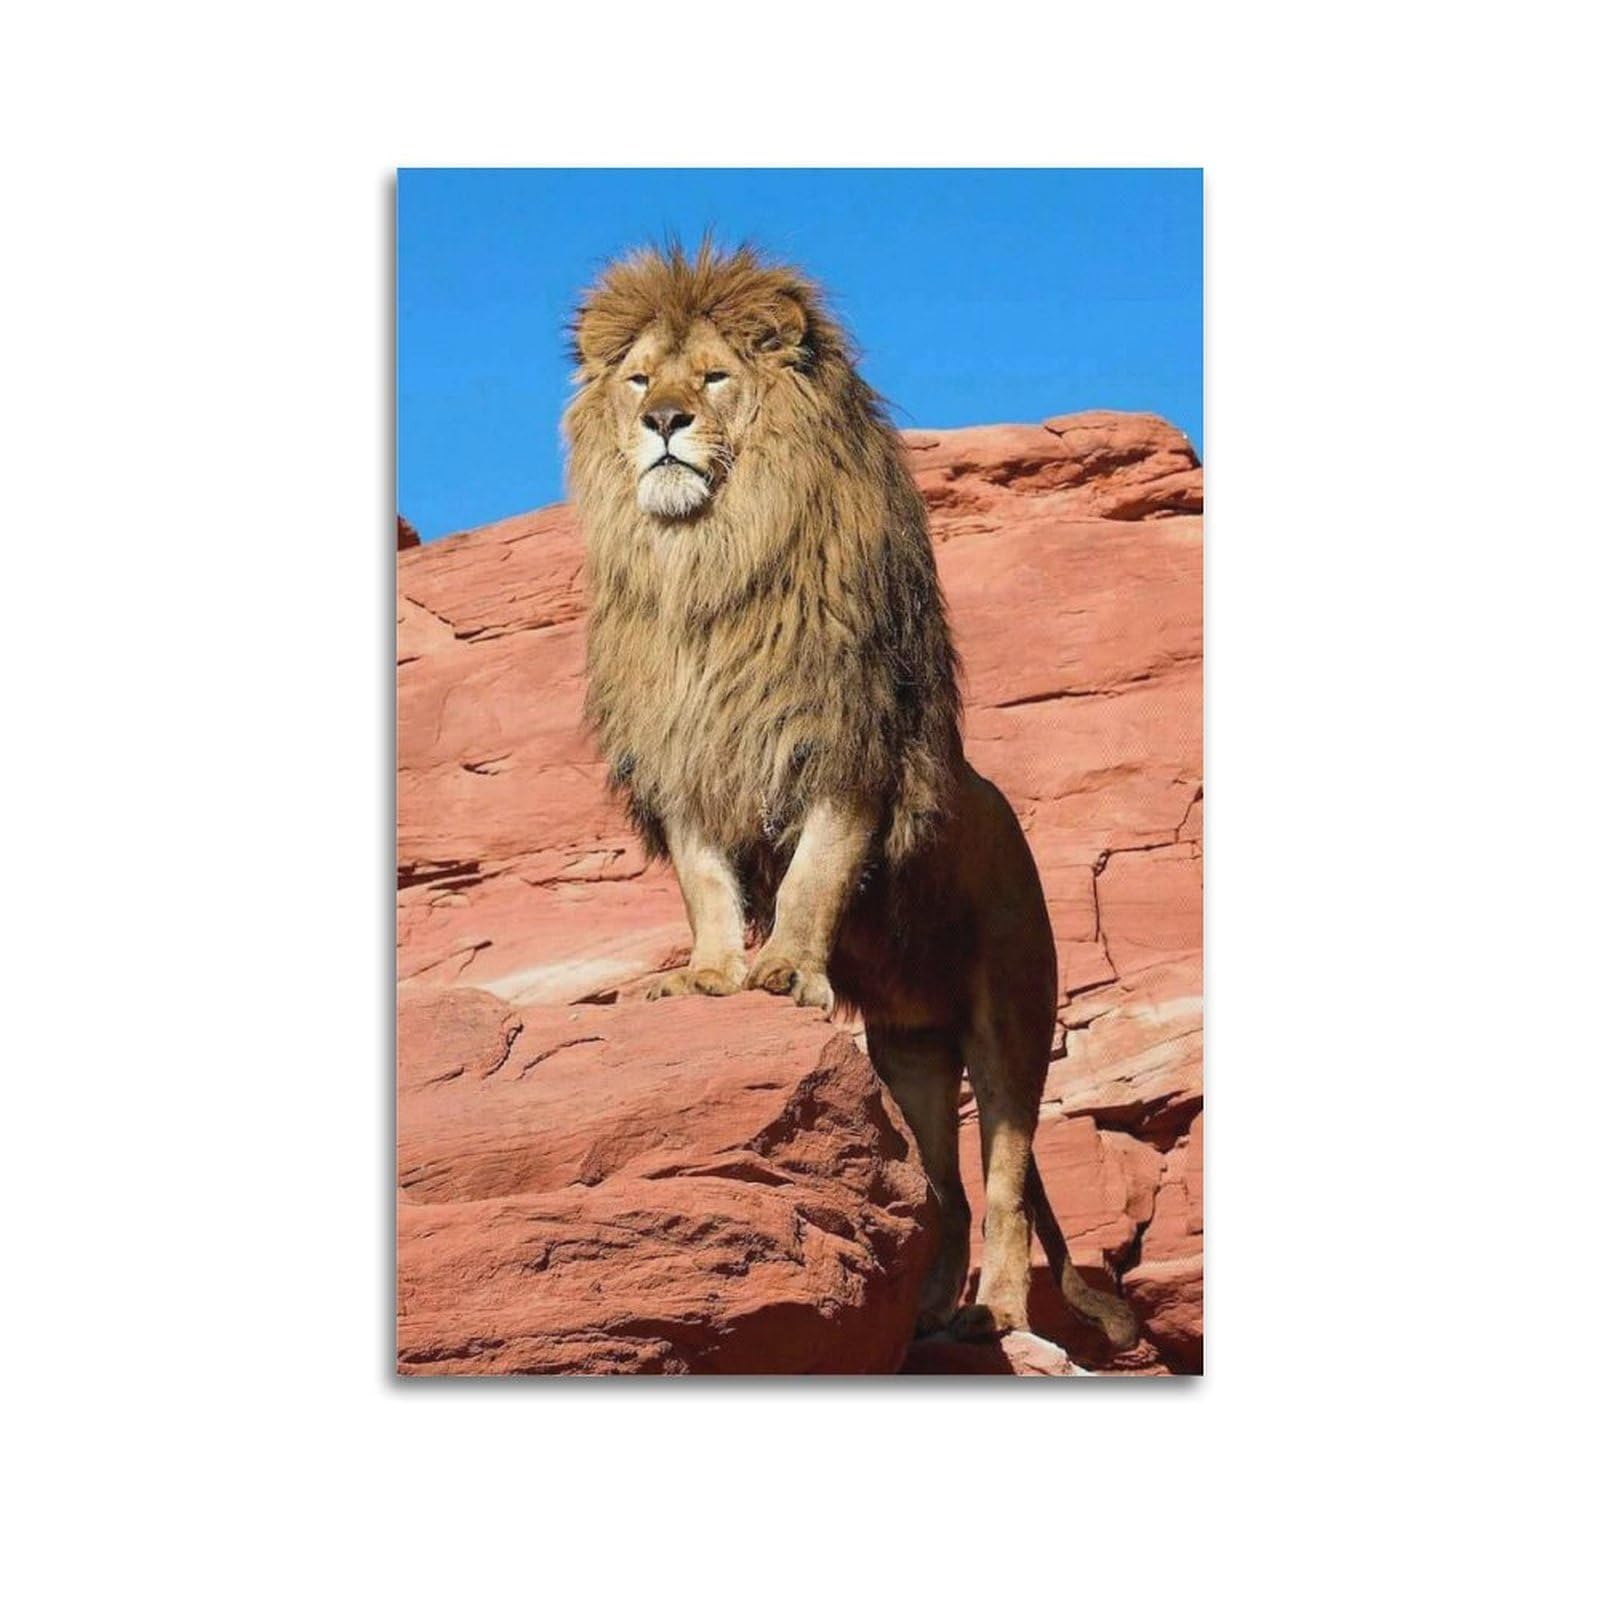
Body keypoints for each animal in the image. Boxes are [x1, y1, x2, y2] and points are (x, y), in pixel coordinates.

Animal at [563, 241, 1136, 1350]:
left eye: (713, 378)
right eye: (639, 380)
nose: (664, 424)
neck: (707, 566)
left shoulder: (846, 746)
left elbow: (814, 878)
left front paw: (783, 969)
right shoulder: (688, 763)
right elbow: (707, 886)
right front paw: (707, 976)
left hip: (1008, 1025)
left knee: (1004, 1187)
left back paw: (996, 1317)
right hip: (910, 1051)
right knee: (945, 1196)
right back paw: (925, 1320)